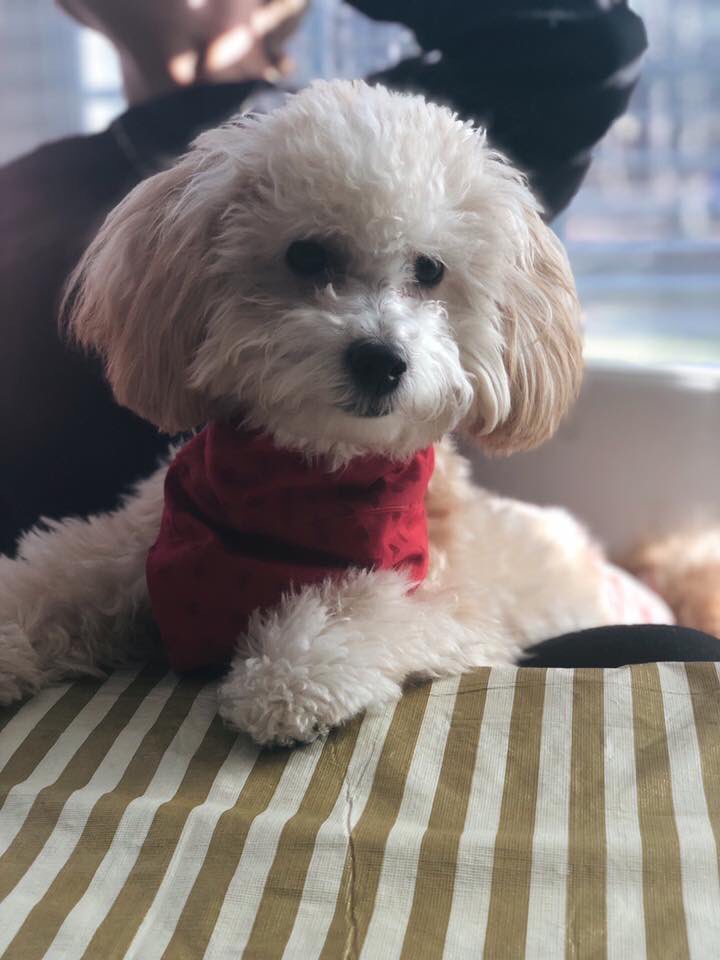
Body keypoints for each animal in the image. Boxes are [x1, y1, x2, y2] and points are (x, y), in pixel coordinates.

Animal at [0, 79, 668, 748]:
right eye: (306, 255)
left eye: (430, 269)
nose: (381, 360)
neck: (307, 481)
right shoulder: (134, 544)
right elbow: (61, 571)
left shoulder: (455, 601)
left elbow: (365, 605)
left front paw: (290, 678)